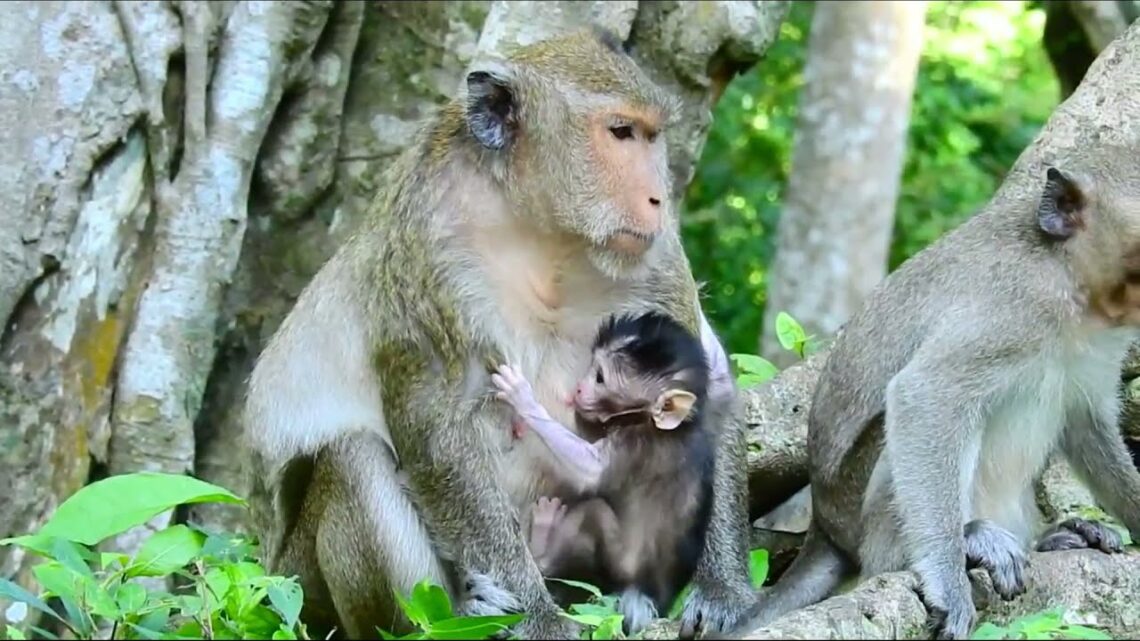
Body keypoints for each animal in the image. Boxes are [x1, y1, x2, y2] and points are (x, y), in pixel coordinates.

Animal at [494, 310, 715, 629]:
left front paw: (524, 400)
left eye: (600, 378)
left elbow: (591, 472)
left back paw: (543, 542)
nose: (578, 388)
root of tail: (652, 594)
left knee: (593, 511)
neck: (673, 427)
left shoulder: (637, 444)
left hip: (619, 564)